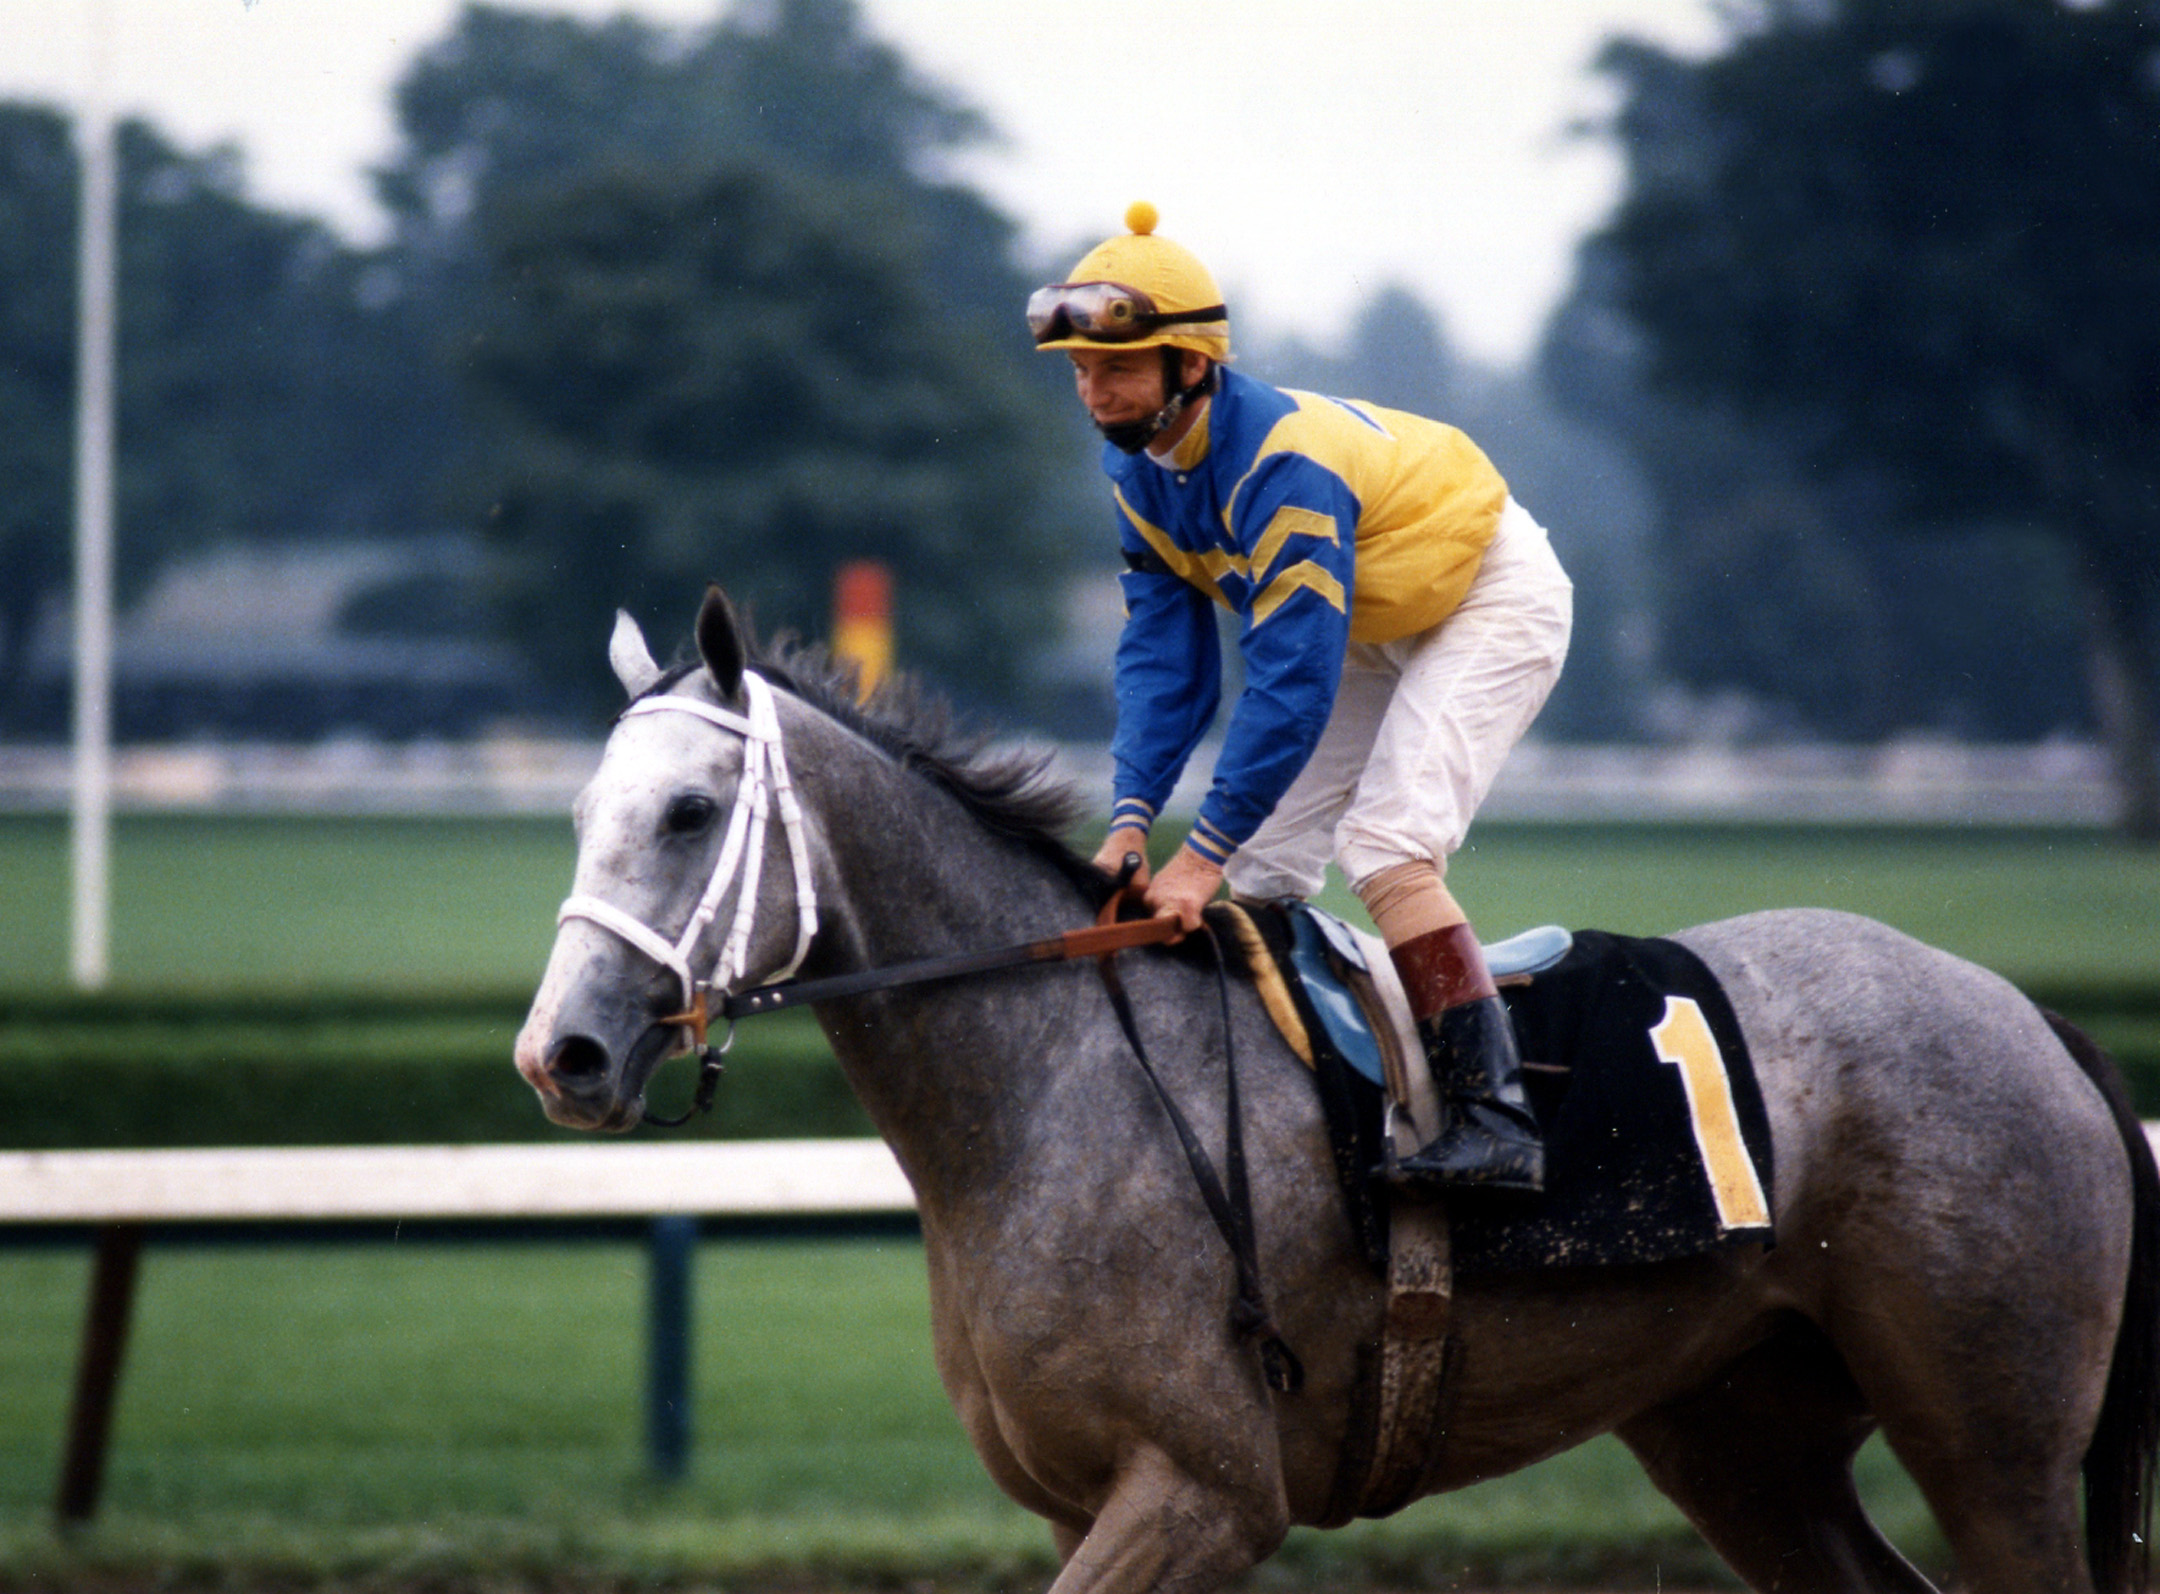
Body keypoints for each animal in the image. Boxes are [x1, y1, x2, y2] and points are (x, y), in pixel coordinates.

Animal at [518, 591, 2160, 1589]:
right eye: (584, 807)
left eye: (689, 809)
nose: (562, 1054)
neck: (1055, 1087)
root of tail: (2032, 1017)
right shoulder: (1083, 1496)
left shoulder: (1204, 1488)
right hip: (1740, 1432)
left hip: (1995, 1434)